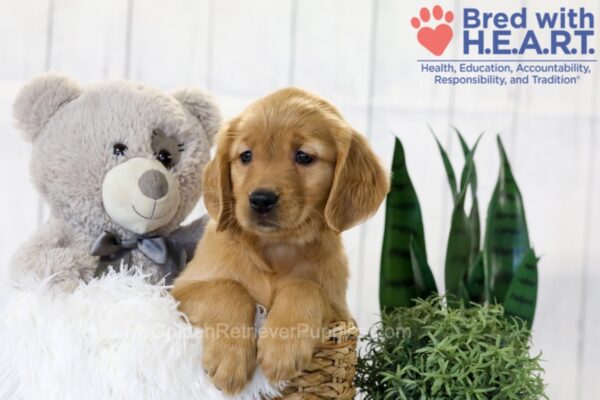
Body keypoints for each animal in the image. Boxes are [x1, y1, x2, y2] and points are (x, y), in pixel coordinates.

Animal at [173, 87, 390, 394]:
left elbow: (306, 287)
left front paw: (282, 346)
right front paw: (230, 357)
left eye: (304, 156)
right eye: (246, 155)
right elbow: (229, 288)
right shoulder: (178, 291)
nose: (261, 199)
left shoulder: (339, 314)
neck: (276, 248)